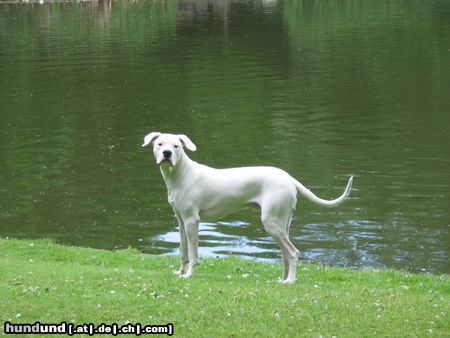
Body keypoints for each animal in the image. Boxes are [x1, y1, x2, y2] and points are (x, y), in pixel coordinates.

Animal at [142, 132, 354, 282]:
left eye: (176, 146)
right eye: (159, 144)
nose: (167, 154)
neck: (181, 174)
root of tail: (289, 178)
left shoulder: (192, 221)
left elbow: (193, 254)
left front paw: (188, 275)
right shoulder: (181, 222)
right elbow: (183, 251)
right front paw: (180, 272)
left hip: (271, 223)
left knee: (293, 253)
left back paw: (290, 282)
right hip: (282, 224)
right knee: (286, 254)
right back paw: (282, 280)